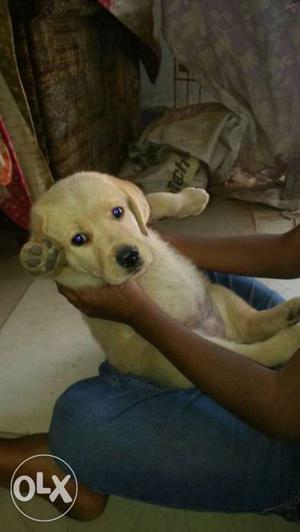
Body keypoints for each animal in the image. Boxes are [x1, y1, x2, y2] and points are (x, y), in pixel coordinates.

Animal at [19, 172, 300, 388]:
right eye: (78, 239)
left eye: (118, 212)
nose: (129, 256)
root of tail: (214, 330)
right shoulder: (77, 280)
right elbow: (68, 270)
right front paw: (41, 255)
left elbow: (151, 199)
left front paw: (191, 198)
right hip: (181, 353)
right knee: (253, 356)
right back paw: (291, 338)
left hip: (218, 294)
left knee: (252, 324)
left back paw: (289, 312)